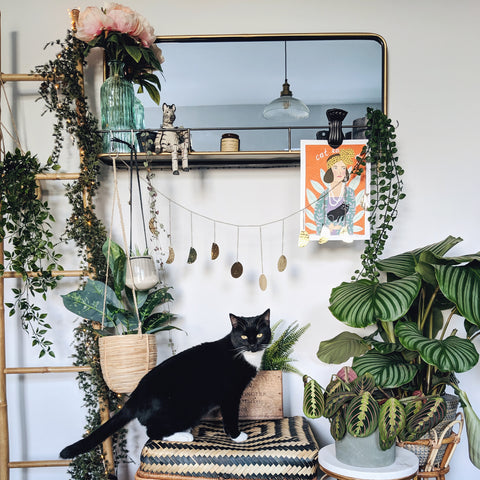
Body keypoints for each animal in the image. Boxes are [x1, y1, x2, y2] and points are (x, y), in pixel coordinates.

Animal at [59, 310, 270, 460]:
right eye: (244, 337)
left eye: (260, 335)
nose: (252, 345)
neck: (244, 355)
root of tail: (135, 396)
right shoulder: (230, 395)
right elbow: (230, 417)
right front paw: (237, 436)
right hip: (184, 409)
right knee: (152, 432)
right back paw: (184, 436)